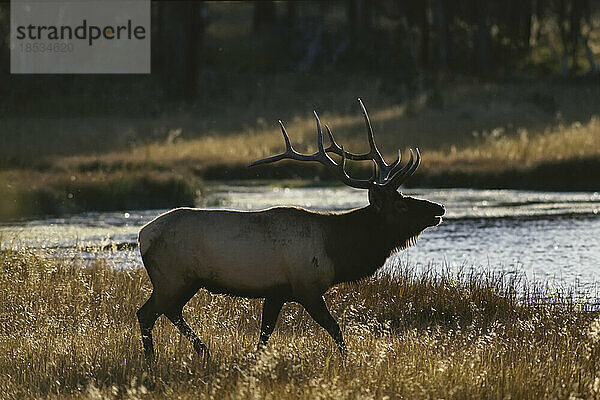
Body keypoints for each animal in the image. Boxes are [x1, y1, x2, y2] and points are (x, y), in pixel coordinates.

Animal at [137, 98, 446, 360]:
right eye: (401, 205)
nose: (439, 209)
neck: (337, 249)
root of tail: (143, 236)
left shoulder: (276, 292)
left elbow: (265, 333)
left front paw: (255, 361)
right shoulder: (306, 286)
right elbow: (334, 327)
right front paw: (347, 360)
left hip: (183, 281)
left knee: (170, 311)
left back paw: (202, 349)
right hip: (173, 277)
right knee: (148, 313)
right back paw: (154, 359)